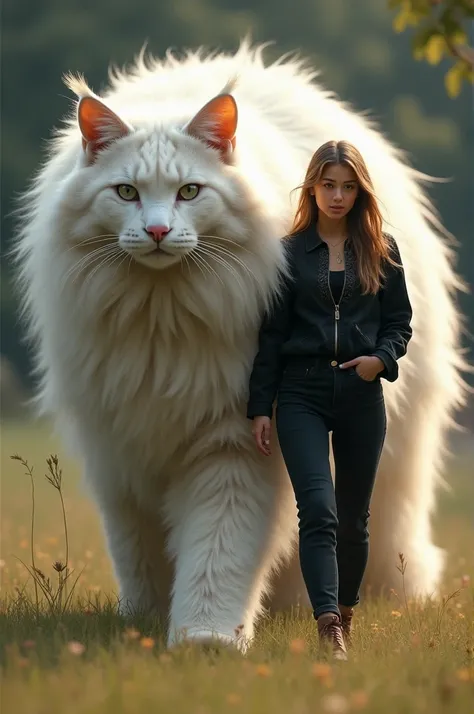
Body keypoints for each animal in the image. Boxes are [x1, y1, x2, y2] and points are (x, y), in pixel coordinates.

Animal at [13, 41, 462, 648]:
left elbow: (218, 550)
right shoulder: (122, 450)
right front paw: (146, 623)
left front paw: (206, 637)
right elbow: (140, 549)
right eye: (126, 192)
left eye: (190, 192)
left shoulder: (233, 446)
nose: (157, 232)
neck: (161, 317)